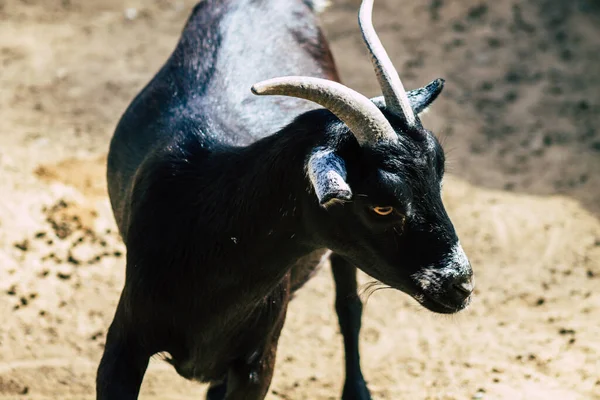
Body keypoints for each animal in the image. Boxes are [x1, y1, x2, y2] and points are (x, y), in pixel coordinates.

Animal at [97, 0, 474, 398]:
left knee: (349, 307)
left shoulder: (259, 361)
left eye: (438, 177)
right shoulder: (123, 347)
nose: (461, 285)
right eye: (382, 206)